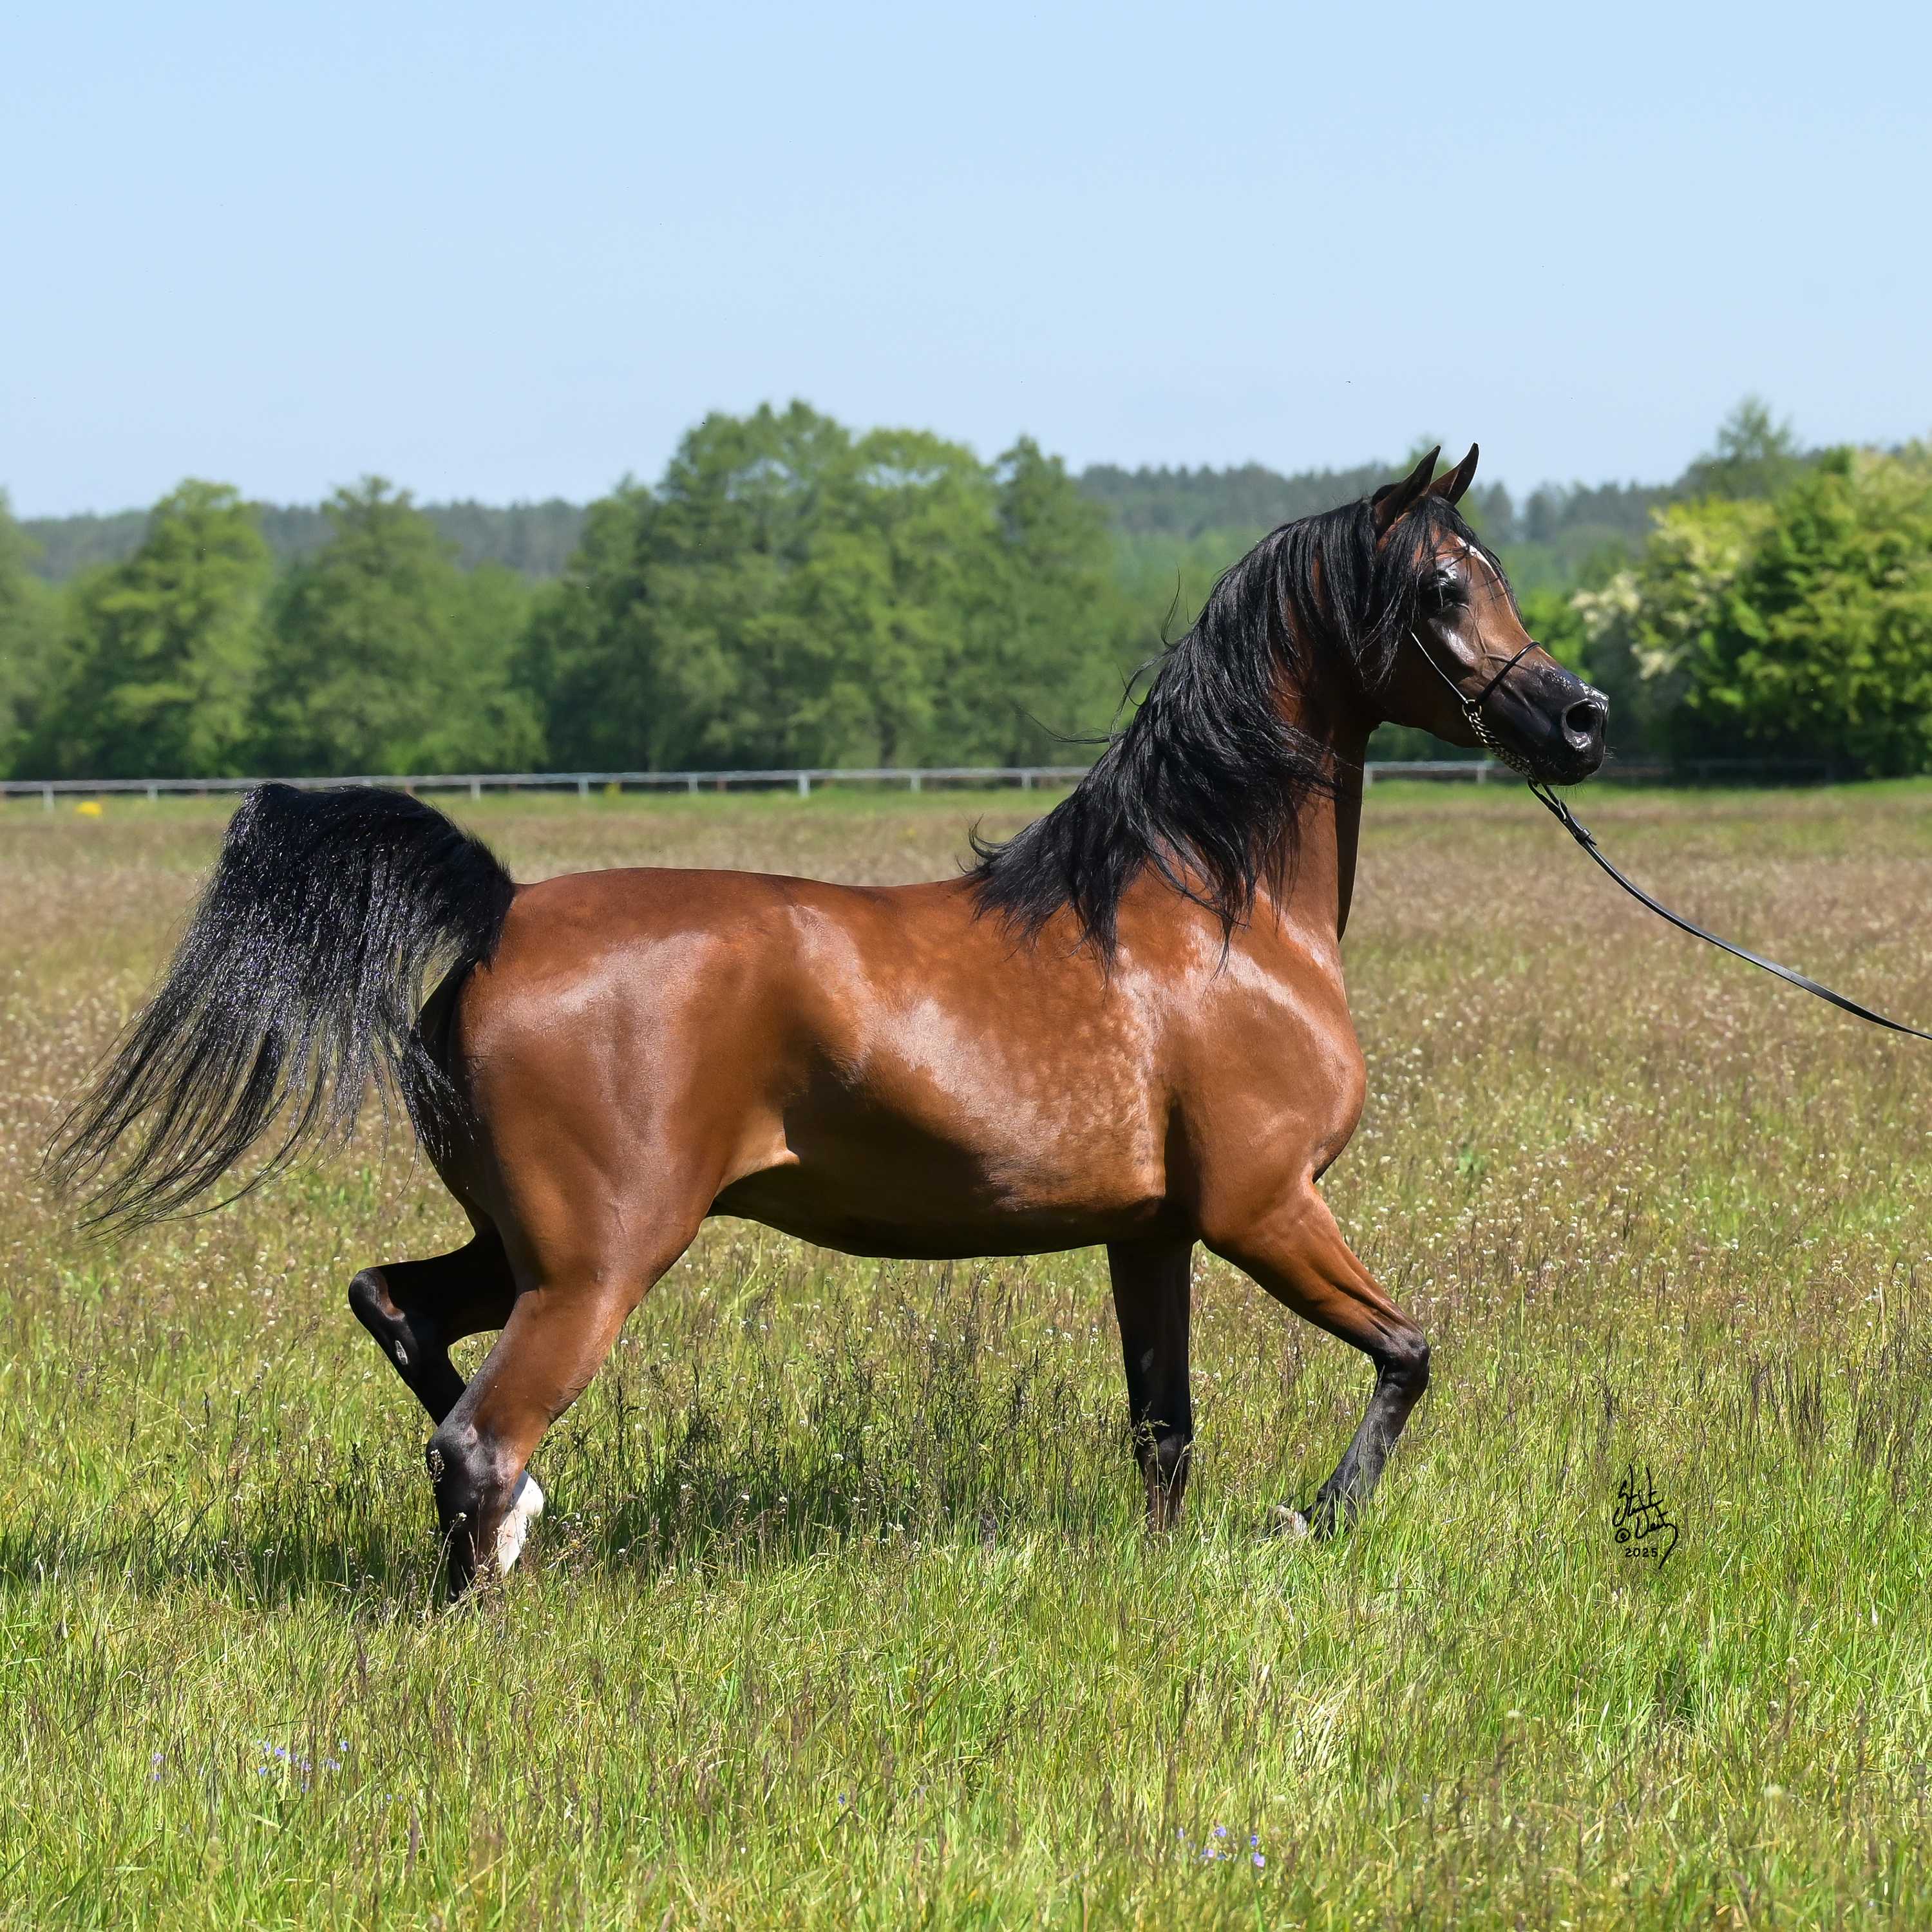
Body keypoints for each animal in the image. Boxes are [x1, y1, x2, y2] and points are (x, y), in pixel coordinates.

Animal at [50, 444, 1607, 1596]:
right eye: (1444, 586)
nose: (1581, 718)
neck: (1210, 915)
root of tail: (499, 914)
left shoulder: (1152, 1232)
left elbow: (1163, 1432)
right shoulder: (1262, 1208)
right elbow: (1409, 1352)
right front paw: (1314, 1520)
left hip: (519, 1246)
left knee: (400, 1320)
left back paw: (523, 1528)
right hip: (598, 1265)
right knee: (476, 1439)